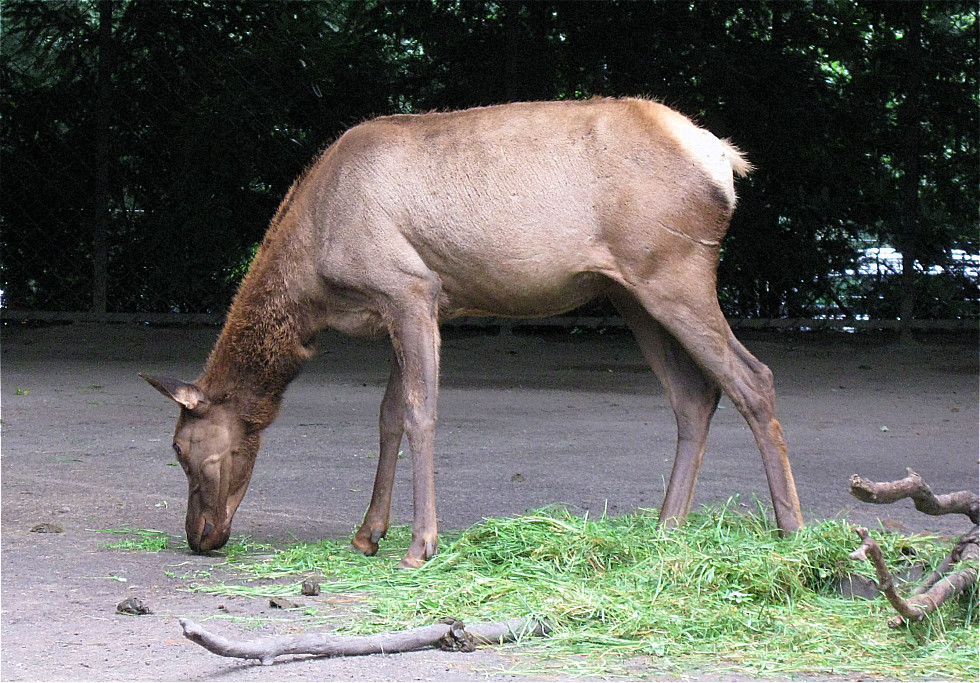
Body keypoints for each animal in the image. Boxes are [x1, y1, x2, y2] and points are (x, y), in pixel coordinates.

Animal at [144, 96, 804, 568]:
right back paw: (665, 532)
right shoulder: (402, 307)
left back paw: (794, 533)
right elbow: (387, 416)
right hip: (631, 293)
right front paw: (368, 534)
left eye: (181, 449)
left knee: (754, 378)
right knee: (695, 395)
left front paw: (421, 545)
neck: (315, 283)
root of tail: (726, 161)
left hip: (675, 272)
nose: (200, 536)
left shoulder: (410, 288)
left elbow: (420, 412)